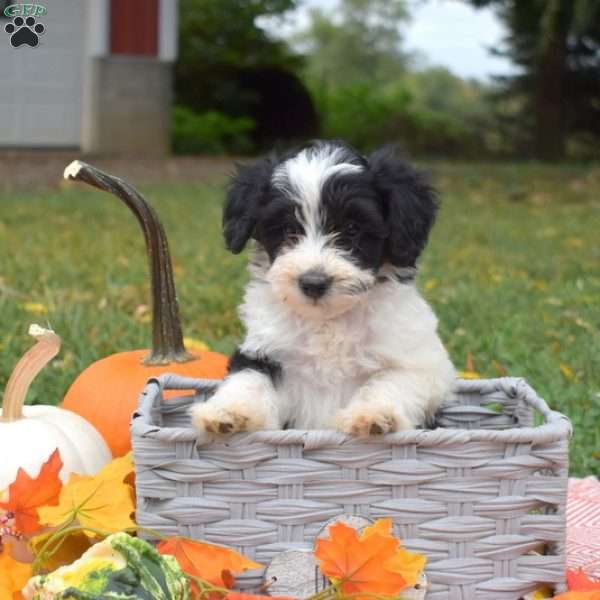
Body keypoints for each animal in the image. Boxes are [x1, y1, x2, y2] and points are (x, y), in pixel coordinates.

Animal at [192, 143, 454, 438]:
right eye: (288, 229)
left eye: (352, 228)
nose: (313, 283)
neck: (328, 321)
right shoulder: (266, 351)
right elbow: (249, 378)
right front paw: (228, 412)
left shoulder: (421, 364)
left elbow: (391, 380)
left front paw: (373, 415)